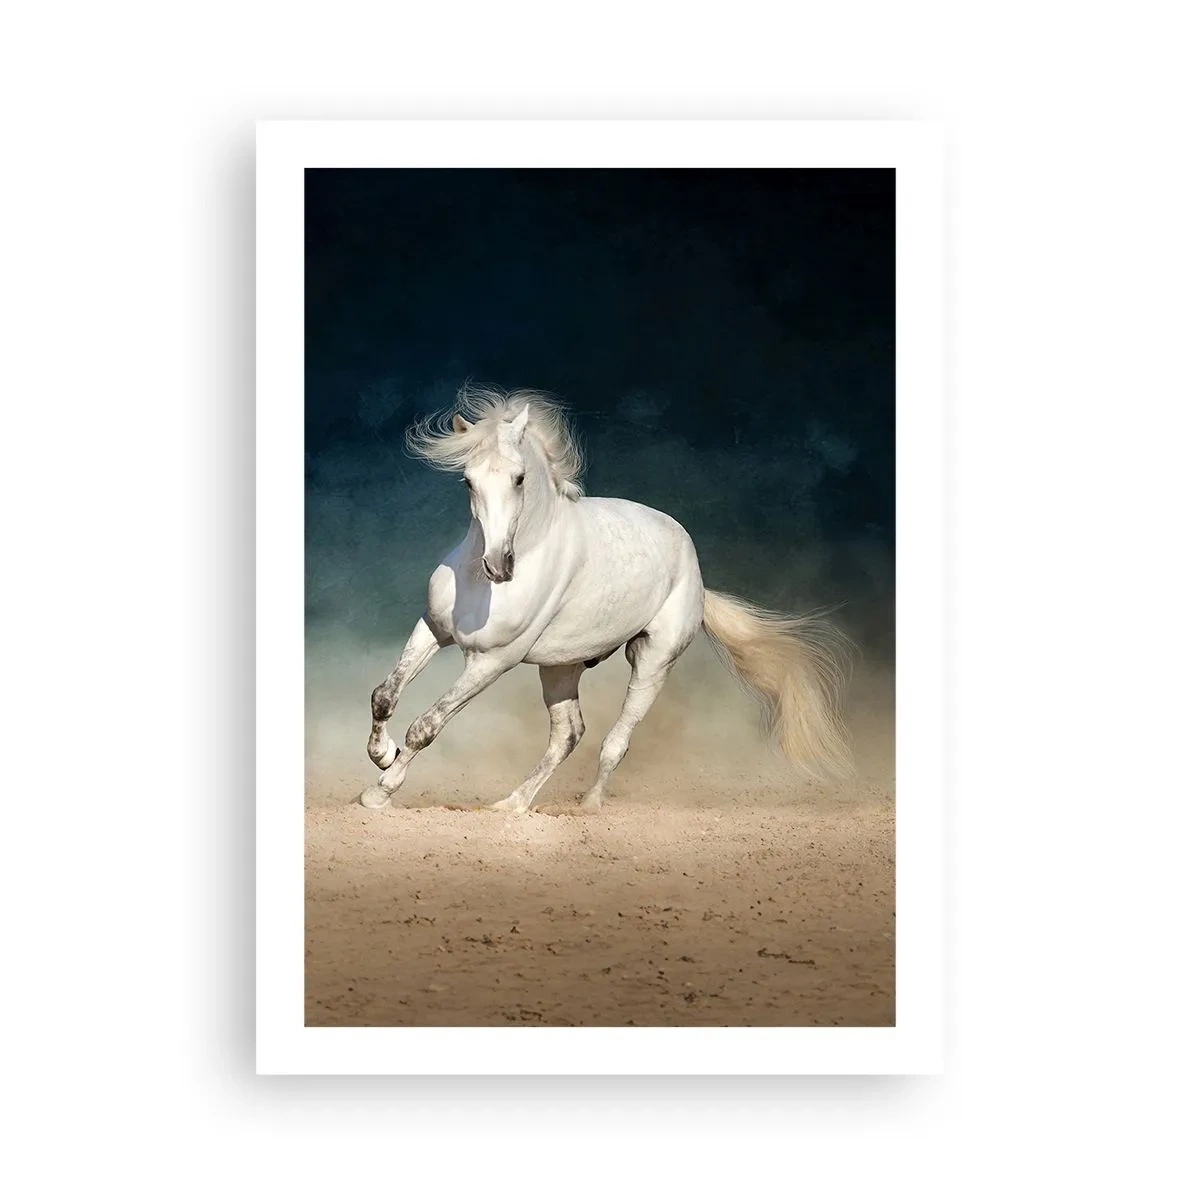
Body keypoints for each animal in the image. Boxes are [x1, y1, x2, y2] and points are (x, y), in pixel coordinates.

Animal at [360, 386, 853, 813]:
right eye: (467, 481)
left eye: (519, 479)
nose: (498, 565)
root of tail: (697, 576)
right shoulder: (434, 629)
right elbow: (384, 695)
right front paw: (383, 755)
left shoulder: (492, 661)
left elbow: (426, 726)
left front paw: (379, 792)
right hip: (560, 667)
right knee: (568, 734)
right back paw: (511, 806)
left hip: (652, 662)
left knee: (615, 740)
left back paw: (589, 807)